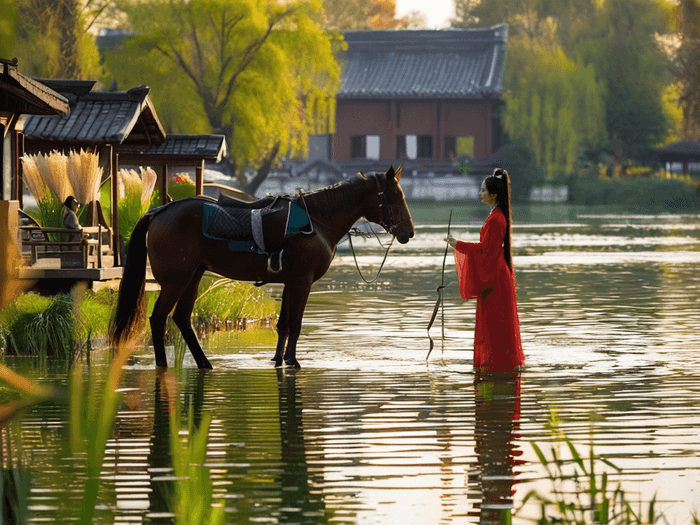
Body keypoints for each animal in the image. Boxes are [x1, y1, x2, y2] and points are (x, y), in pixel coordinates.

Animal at [110, 165, 416, 368]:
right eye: (396, 197)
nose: (409, 232)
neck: (316, 220)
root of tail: (159, 211)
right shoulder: (302, 282)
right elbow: (295, 324)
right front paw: (293, 361)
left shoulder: (290, 282)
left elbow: (283, 325)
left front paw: (279, 359)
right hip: (176, 281)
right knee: (159, 319)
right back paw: (164, 364)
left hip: (193, 276)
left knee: (182, 319)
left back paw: (205, 363)